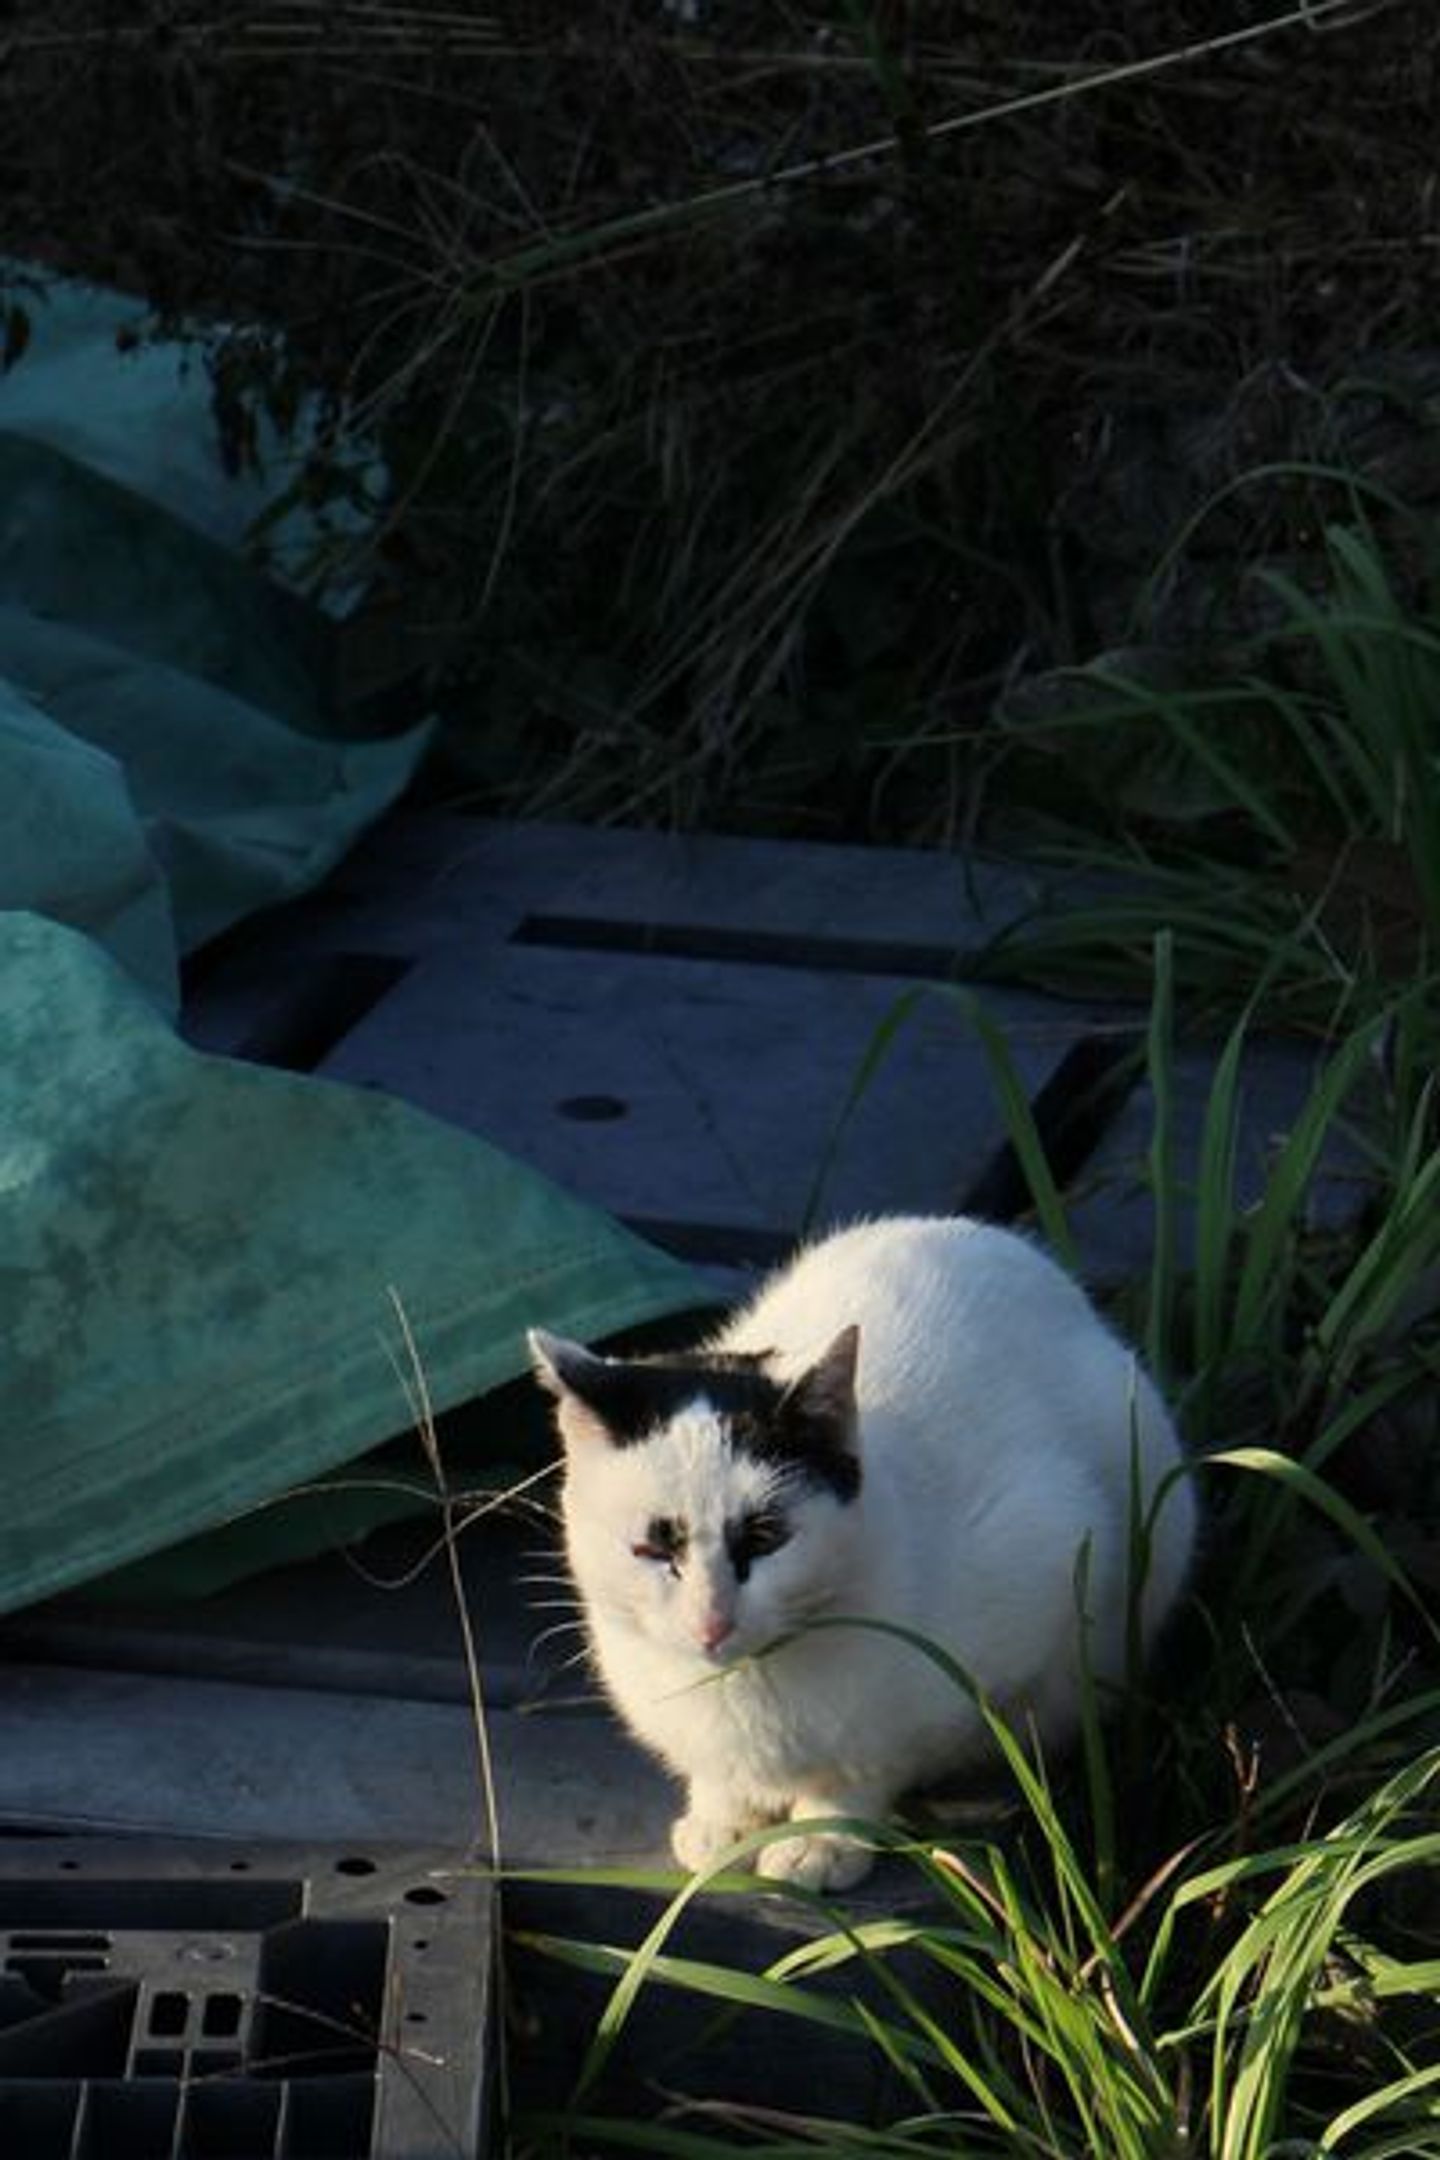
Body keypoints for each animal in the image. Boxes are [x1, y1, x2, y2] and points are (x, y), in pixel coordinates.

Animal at [526, 1218, 1191, 1892]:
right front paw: (723, 1818)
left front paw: (823, 1836)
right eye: (650, 1547)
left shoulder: (1051, 1546)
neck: (744, 1686)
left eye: (766, 1538)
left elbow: (873, 1762)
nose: (711, 1623)